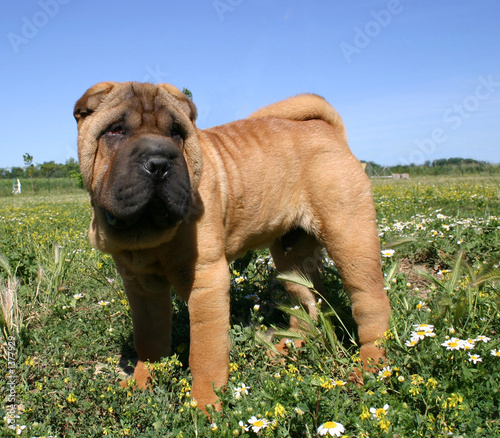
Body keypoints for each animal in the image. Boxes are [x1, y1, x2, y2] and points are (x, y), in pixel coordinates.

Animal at [73, 81, 390, 410]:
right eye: (115, 130)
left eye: (177, 132)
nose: (159, 162)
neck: (148, 232)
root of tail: (330, 131)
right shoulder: (141, 285)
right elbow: (149, 338)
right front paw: (140, 384)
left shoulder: (206, 280)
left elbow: (205, 352)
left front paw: (204, 405)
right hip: (291, 259)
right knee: (308, 305)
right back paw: (286, 349)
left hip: (349, 237)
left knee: (370, 303)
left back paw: (367, 369)